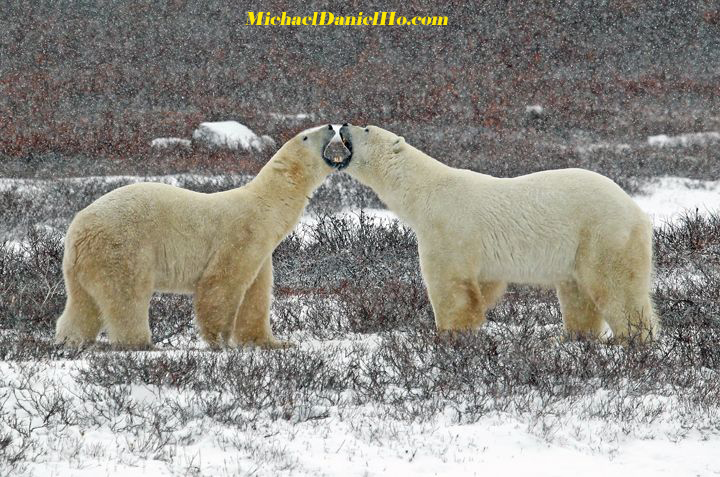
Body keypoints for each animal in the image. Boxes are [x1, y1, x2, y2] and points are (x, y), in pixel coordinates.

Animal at [54, 124, 344, 348]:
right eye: (305, 136)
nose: (332, 126)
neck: (267, 206)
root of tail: (79, 229)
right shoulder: (243, 234)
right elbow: (221, 283)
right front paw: (221, 341)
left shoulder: (263, 253)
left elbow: (256, 298)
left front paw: (274, 342)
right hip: (122, 248)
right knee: (127, 297)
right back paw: (141, 343)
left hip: (82, 265)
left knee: (82, 304)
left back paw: (70, 341)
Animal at [338, 124, 660, 340]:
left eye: (365, 128)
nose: (343, 124)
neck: (424, 191)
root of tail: (638, 212)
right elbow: (484, 284)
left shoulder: (447, 227)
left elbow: (450, 285)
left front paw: (449, 335)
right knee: (578, 297)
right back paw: (575, 340)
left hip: (603, 235)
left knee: (617, 291)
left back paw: (634, 340)